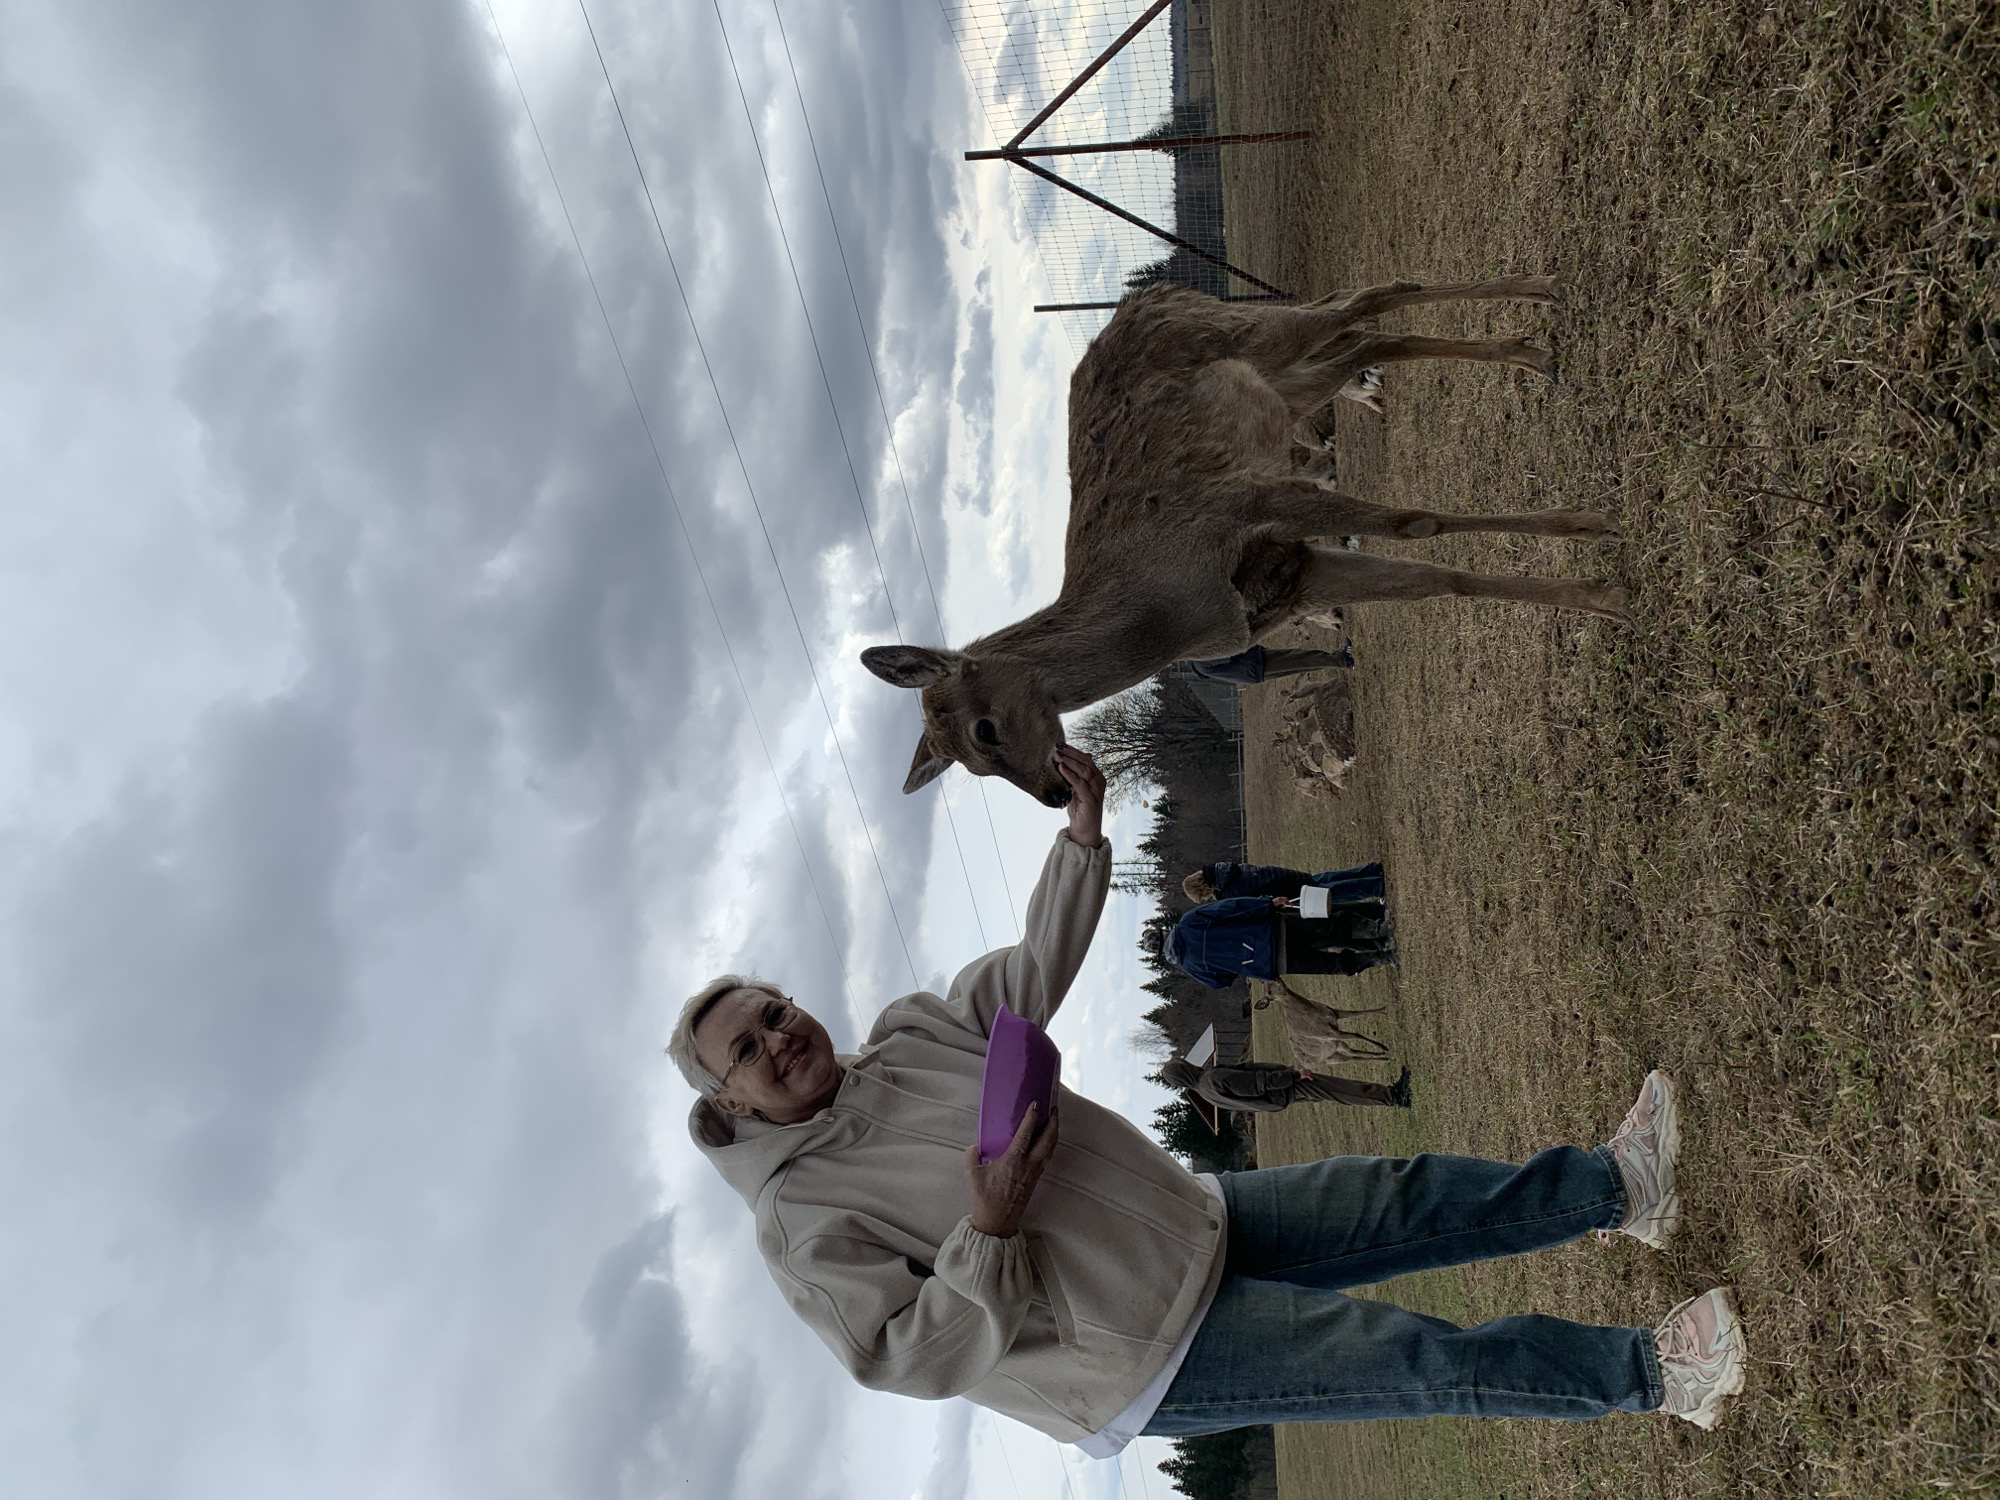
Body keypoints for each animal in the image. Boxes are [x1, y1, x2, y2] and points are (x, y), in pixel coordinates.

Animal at [862, 276, 1628, 805]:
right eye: (967, 767)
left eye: (982, 732)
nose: (1053, 795)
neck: (1179, 612)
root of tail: (1151, 294)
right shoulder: (1294, 575)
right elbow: (1438, 581)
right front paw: (1598, 590)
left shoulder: (1249, 501)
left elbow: (1417, 523)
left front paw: (1592, 529)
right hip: (1286, 382)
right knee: (1365, 333)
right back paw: (1530, 339)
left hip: (1254, 331)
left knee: (1370, 299)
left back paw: (1541, 311)